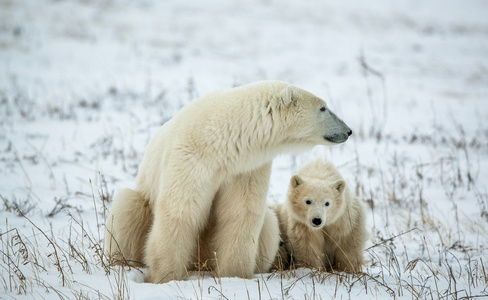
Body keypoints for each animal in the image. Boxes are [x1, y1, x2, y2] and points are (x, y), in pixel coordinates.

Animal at [105, 80, 352, 284]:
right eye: (323, 108)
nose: (348, 130)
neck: (221, 140)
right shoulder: (191, 157)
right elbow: (181, 211)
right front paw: (165, 277)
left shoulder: (244, 168)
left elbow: (241, 214)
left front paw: (235, 275)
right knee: (128, 207)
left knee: (268, 223)